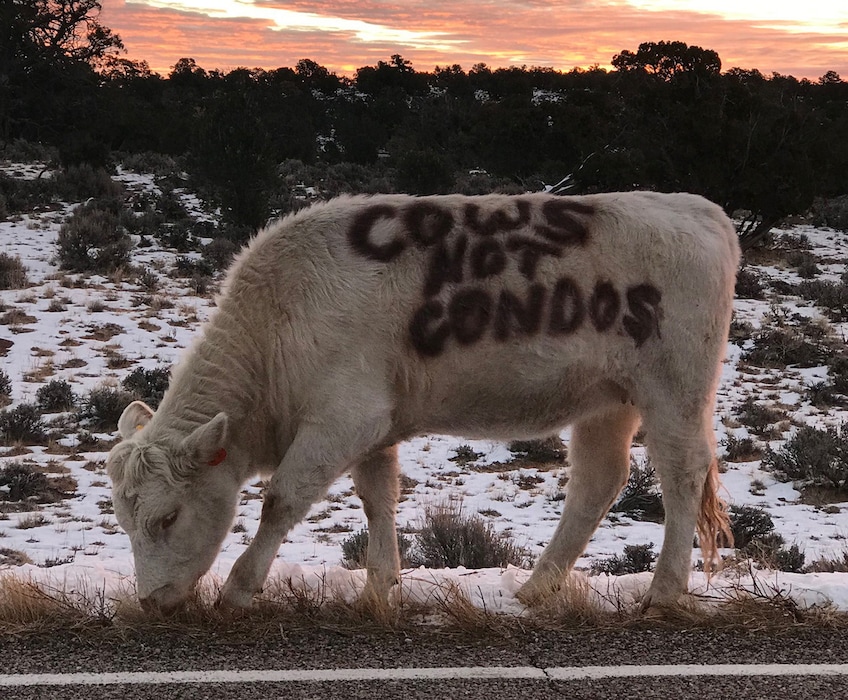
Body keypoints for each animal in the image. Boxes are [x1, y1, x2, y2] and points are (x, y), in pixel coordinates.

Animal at [106, 191, 739, 614]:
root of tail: (699, 209)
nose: (151, 600)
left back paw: (663, 591)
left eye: (167, 517)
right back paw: (535, 589)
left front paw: (239, 588)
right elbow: (378, 498)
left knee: (682, 474)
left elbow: (281, 500)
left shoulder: (341, 419)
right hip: (608, 400)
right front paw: (377, 588)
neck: (276, 325)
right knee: (598, 482)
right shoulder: (372, 427)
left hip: (674, 390)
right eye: (125, 520)